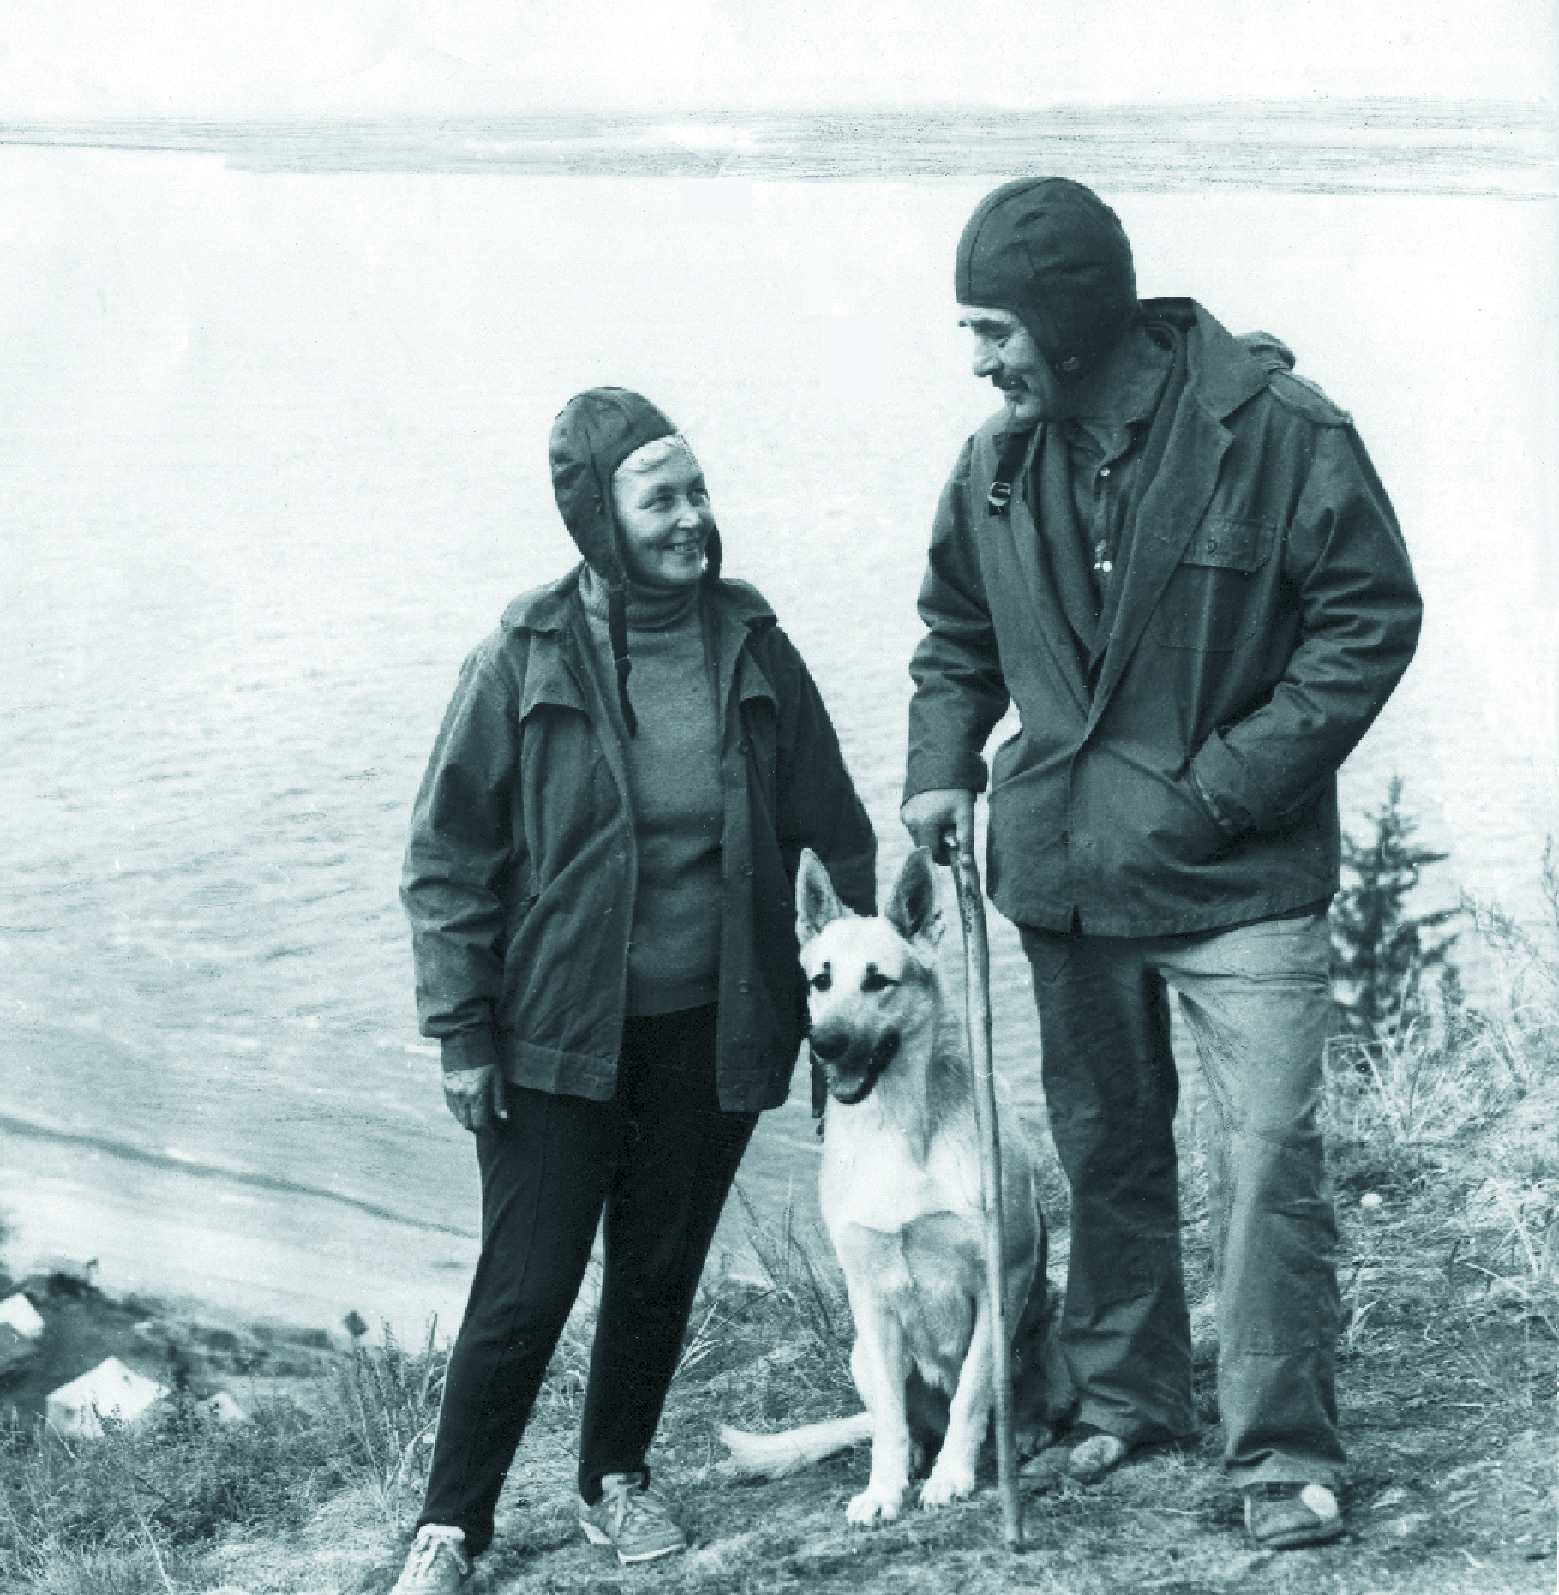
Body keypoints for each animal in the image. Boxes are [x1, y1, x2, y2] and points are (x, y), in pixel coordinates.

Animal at [721, 847, 1070, 1524]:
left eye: (878, 981)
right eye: (819, 981)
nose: (824, 1044)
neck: (899, 1126)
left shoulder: (1001, 1278)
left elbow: (972, 1394)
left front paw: (952, 1477)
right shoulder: (870, 1296)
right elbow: (888, 1415)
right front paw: (885, 1489)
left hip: (1049, 1320)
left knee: (1007, 1404)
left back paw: (1021, 1434)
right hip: (860, 1350)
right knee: (903, 1421)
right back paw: (910, 1458)